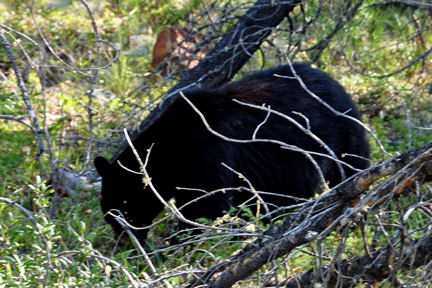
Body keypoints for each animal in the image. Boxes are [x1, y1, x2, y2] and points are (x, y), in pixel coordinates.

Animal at [93, 63, 368, 243]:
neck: (168, 149)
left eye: (123, 211)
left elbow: (207, 207)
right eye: (109, 216)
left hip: (343, 137)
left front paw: (179, 244)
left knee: (350, 170)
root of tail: (337, 83)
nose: (126, 245)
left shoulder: (205, 154)